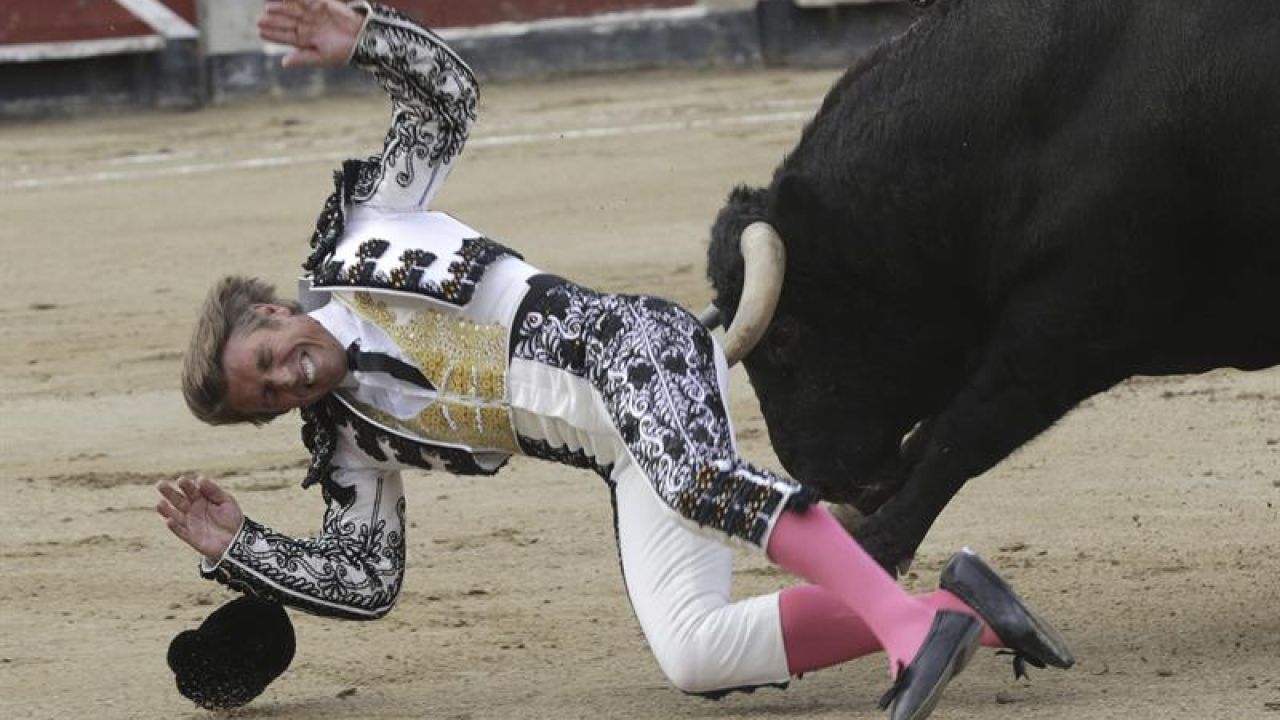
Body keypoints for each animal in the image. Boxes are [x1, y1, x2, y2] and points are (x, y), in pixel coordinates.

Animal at [703, 0, 1280, 572]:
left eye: (784, 335)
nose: (818, 479)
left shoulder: (1079, 319)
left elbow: (966, 430)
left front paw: (874, 549)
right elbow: (934, 430)